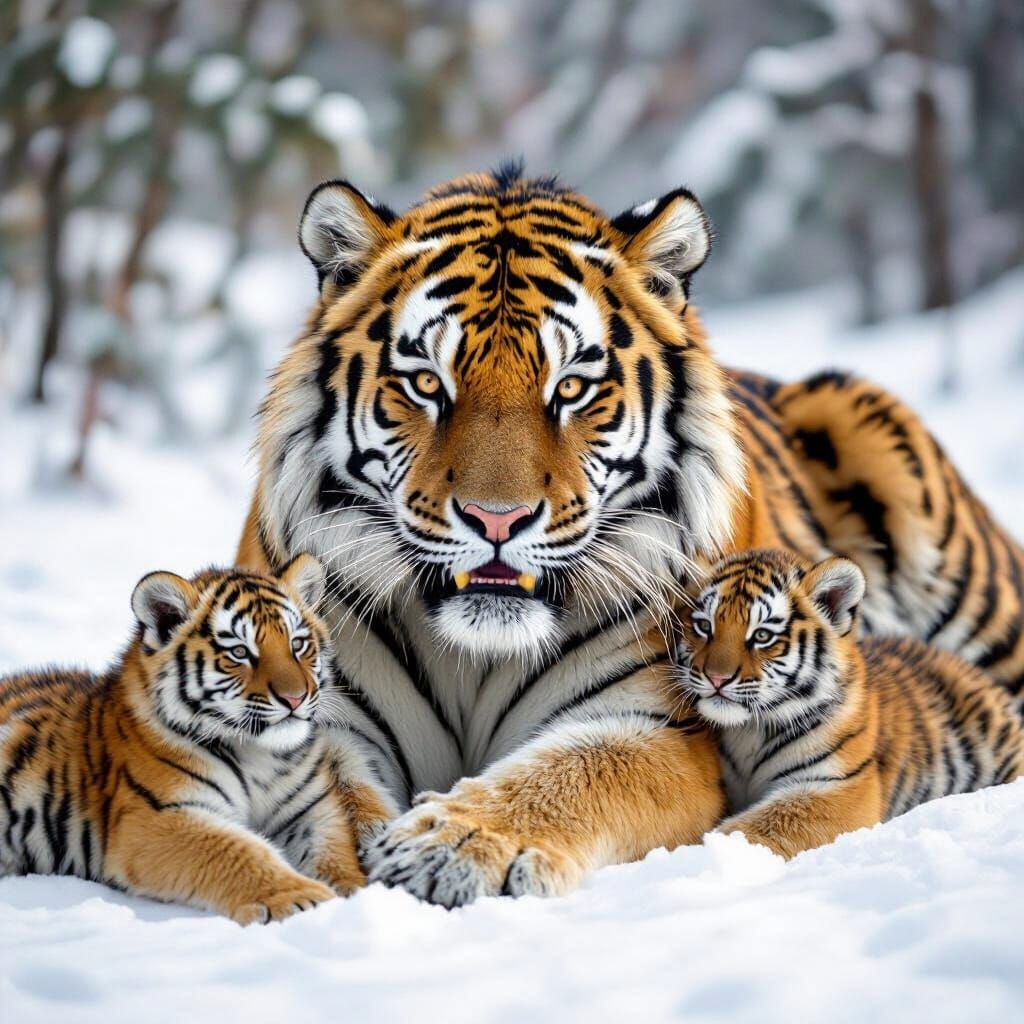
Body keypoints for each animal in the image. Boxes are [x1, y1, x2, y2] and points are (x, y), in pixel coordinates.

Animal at [0, 555, 395, 924]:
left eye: (298, 645)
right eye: (240, 652)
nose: (296, 698)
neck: (260, 755)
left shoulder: (312, 809)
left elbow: (334, 853)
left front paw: (354, 893)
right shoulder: (160, 816)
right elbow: (237, 849)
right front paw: (303, 898)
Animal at [674, 548, 1024, 859]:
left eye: (761, 636)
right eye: (704, 626)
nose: (717, 678)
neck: (748, 731)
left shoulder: (840, 785)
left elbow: (759, 825)